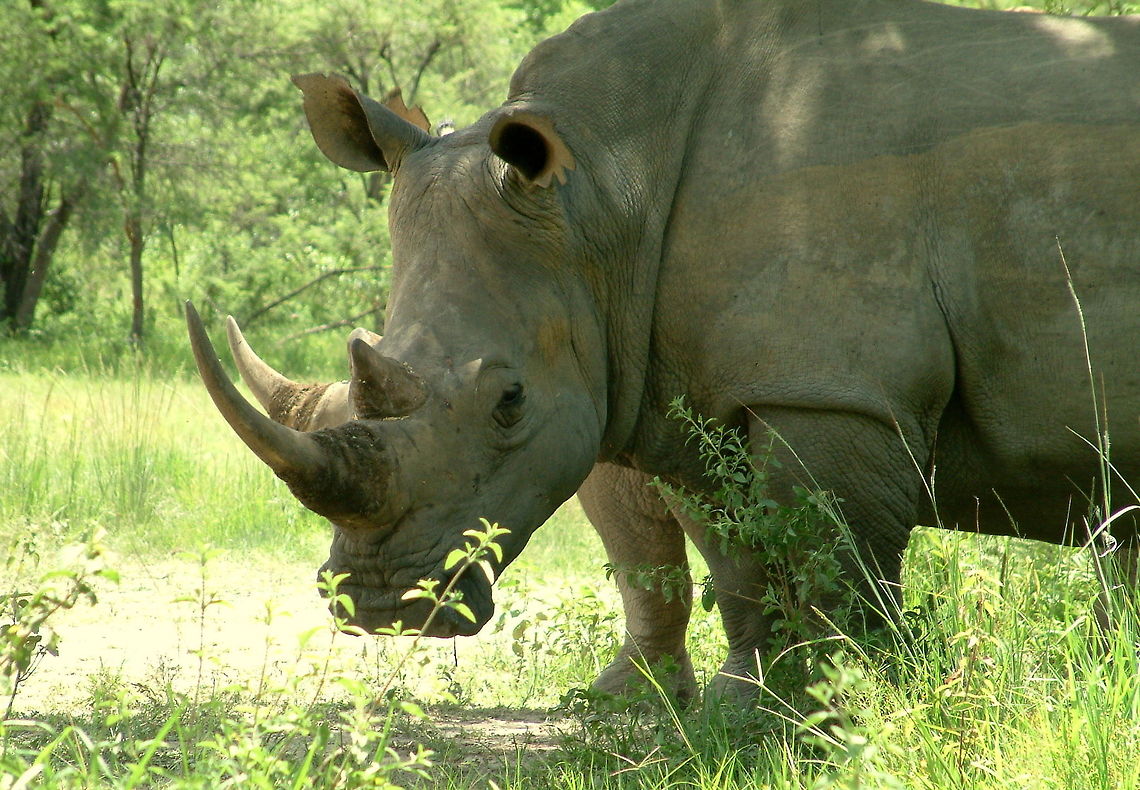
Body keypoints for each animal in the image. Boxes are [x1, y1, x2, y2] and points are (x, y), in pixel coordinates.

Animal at [188, 0, 1140, 703]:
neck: (602, 190)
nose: (380, 604)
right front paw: (740, 707)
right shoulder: (681, 385)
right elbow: (729, 561)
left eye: (509, 403)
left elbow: (840, 566)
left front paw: (861, 709)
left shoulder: (832, 387)